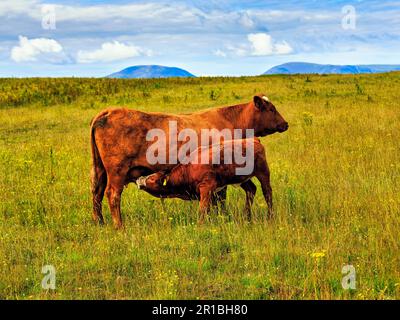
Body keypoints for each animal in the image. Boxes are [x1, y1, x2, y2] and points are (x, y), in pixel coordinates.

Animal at [136, 138, 274, 222]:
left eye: (152, 178)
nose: (139, 179)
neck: (188, 169)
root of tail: (253, 139)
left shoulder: (206, 188)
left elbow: (203, 210)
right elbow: (213, 208)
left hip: (263, 172)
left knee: (267, 192)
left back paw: (270, 216)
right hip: (243, 179)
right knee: (251, 190)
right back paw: (246, 216)